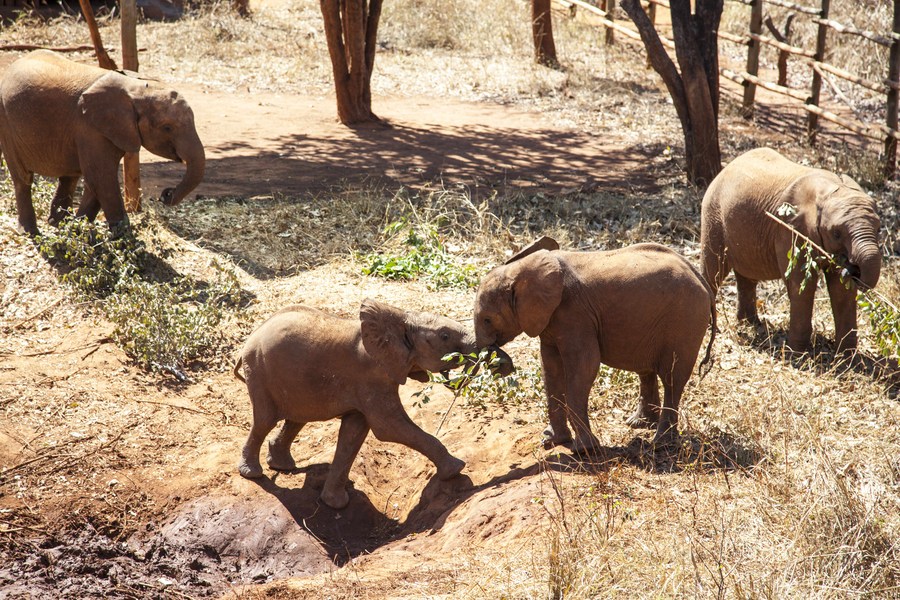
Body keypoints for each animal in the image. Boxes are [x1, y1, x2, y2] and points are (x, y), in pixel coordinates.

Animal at [0, 50, 205, 235]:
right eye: (167, 127)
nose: (165, 194)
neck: (135, 88)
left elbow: (96, 181)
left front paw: (77, 230)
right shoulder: (90, 129)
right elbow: (101, 177)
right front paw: (123, 238)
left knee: (69, 177)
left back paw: (57, 224)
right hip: (6, 124)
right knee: (23, 178)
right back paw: (29, 232)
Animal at [233, 299, 514, 510]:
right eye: (444, 336)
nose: (504, 365)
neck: (401, 318)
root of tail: (249, 340)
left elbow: (355, 432)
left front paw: (335, 503)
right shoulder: (372, 377)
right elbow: (389, 427)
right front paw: (457, 468)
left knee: (296, 419)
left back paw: (283, 466)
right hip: (259, 371)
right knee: (266, 420)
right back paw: (252, 473)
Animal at [474, 236, 716, 451]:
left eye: (487, 320)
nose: (499, 362)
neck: (520, 269)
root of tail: (700, 278)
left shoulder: (574, 313)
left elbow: (584, 366)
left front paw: (584, 449)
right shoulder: (552, 320)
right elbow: (550, 368)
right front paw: (551, 441)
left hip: (685, 319)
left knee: (672, 378)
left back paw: (660, 444)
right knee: (646, 370)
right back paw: (639, 424)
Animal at [700, 147, 882, 354]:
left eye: (879, 230)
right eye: (836, 233)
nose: (852, 269)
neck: (830, 190)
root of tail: (727, 167)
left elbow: (841, 290)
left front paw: (846, 357)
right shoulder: (790, 229)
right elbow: (802, 284)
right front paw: (797, 354)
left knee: (747, 275)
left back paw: (751, 324)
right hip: (713, 214)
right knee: (714, 268)